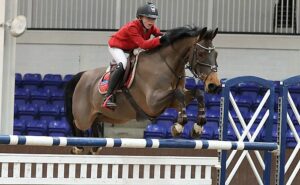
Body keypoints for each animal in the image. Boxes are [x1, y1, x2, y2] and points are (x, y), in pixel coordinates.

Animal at [64, 25, 220, 153]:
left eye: (216, 54)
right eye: (201, 54)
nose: (214, 85)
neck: (167, 64)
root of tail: (82, 75)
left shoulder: (172, 101)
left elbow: (197, 93)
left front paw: (197, 127)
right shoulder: (153, 103)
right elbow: (178, 94)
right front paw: (178, 127)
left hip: (101, 114)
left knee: (95, 125)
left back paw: (94, 146)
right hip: (83, 117)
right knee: (77, 124)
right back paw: (77, 147)